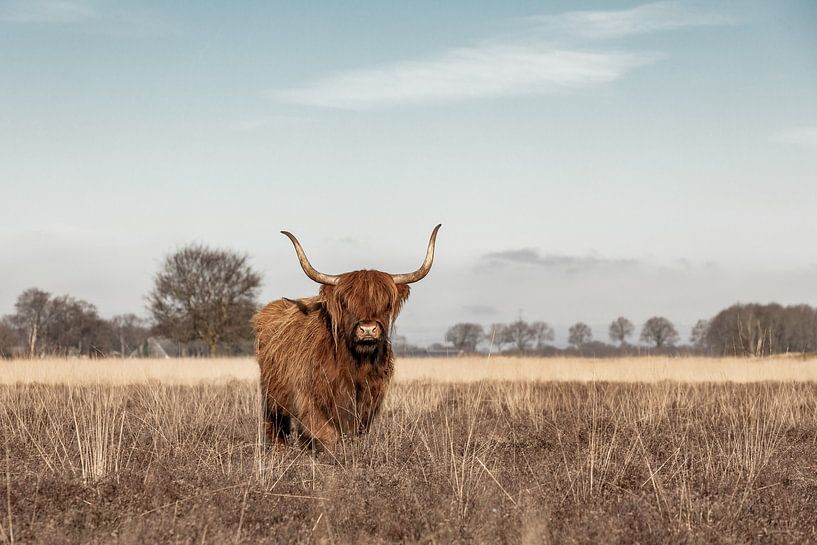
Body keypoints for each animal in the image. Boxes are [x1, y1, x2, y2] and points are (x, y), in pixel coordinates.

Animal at [254, 225, 440, 452]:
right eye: (345, 303)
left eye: (386, 304)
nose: (368, 329)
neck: (357, 363)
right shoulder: (311, 397)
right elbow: (326, 432)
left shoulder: (369, 399)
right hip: (271, 393)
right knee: (275, 422)